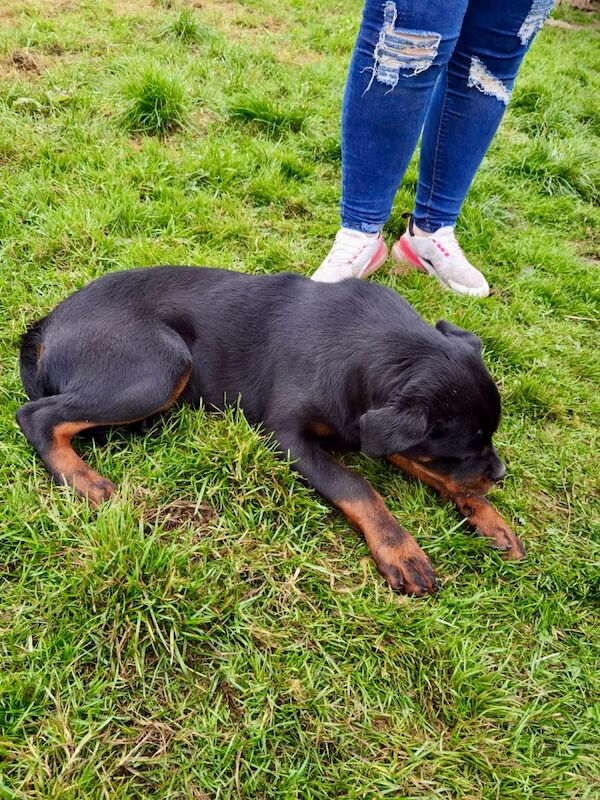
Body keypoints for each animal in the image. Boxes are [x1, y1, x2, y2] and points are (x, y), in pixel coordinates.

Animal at [17, 268, 524, 592]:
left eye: (487, 439)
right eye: (463, 446)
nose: (501, 475)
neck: (375, 345)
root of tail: (46, 325)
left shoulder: (368, 427)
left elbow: (432, 473)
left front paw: (489, 517)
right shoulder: (288, 437)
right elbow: (357, 486)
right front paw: (401, 550)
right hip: (161, 366)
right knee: (35, 416)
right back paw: (84, 481)